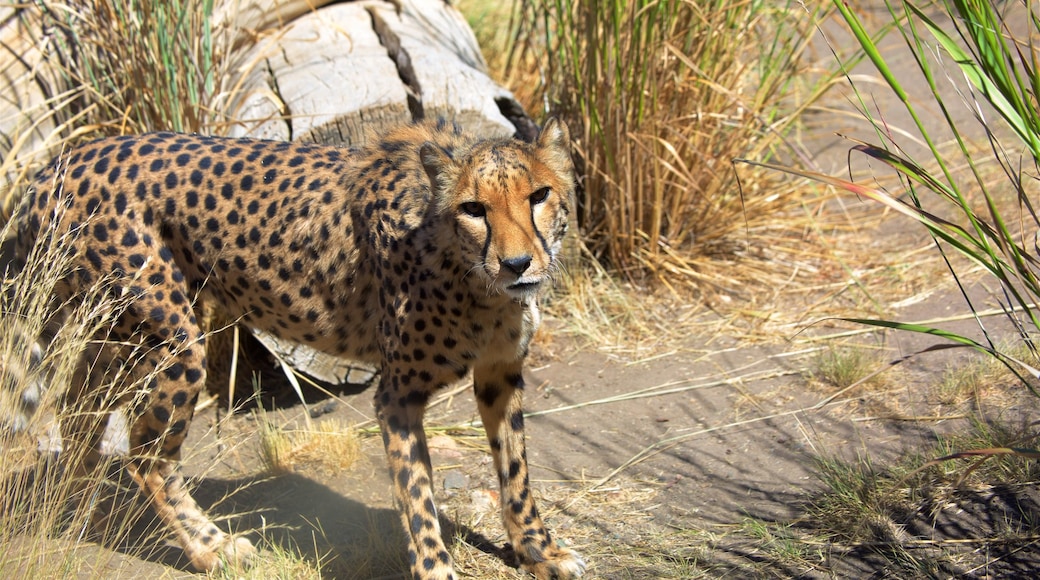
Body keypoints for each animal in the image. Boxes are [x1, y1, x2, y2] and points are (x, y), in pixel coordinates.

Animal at [8, 120, 582, 577]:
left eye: (538, 195)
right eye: (473, 208)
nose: (517, 264)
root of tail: (58, 162)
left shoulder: (499, 373)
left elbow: (516, 471)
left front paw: (539, 551)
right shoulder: (397, 397)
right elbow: (417, 494)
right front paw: (437, 568)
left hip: (115, 330)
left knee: (78, 411)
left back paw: (78, 507)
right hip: (173, 340)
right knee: (145, 457)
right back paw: (211, 548)